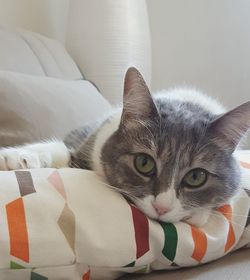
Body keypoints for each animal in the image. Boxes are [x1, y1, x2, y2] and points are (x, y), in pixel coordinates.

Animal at [0, 68, 250, 228]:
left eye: (196, 177)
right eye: (144, 163)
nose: (161, 208)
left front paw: (197, 214)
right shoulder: (84, 150)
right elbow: (59, 152)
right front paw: (16, 158)